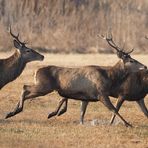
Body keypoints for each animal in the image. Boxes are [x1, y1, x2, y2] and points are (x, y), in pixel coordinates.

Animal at [4, 33, 147, 127]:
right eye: (131, 60)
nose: (144, 66)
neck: (109, 77)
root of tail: (36, 71)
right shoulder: (101, 93)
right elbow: (114, 109)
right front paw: (128, 124)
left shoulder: (87, 97)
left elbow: (82, 113)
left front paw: (81, 124)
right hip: (44, 86)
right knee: (25, 87)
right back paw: (16, 111)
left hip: (45, 87)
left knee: (26, 90)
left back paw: (12, 112)